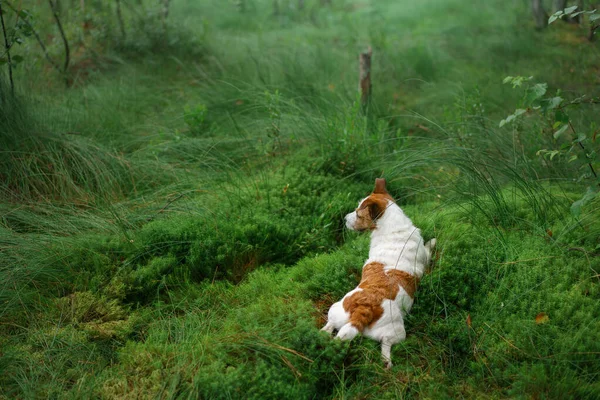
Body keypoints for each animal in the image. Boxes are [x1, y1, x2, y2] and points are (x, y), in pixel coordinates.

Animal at [322, 178, 434, 368]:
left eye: (359, 215)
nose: (344, 219)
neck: (394, 228)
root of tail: (366, 307)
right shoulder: (424, 256)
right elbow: (429, 248)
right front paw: (433, 242)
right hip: (397, 331)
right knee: (384, 344)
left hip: (341, 312)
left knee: (333, 328)